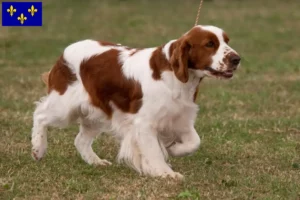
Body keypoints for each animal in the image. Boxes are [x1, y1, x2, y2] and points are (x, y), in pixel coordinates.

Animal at [31, 24, 240, 179]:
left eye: (227, 41)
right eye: (210, 44)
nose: (237, 59)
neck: (176, 77)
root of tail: (64, 52)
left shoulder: (180, 118)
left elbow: (194, 142)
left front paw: (173, 149)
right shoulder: (145, 123)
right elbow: (154, 152)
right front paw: (166, 173)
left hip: (98, 112)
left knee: (80, 140)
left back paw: (96, 161)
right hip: (64, 106)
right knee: (40, 115)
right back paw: (38, 149)